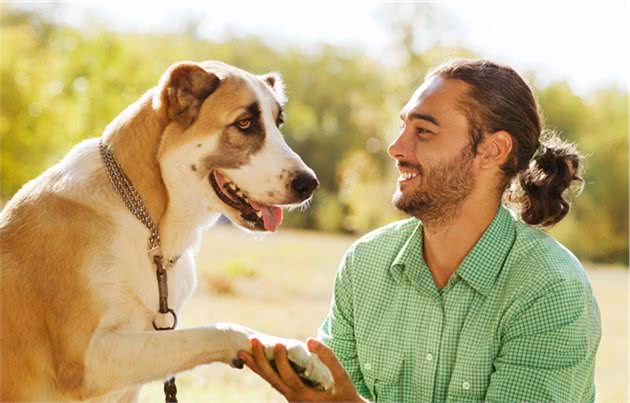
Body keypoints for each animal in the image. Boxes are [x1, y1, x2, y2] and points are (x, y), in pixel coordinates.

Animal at [1, 60, 336, 403]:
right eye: (244, 123)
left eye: (278, 123)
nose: (309, 184)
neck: (147, 222)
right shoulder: (90, 360)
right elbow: (219, 330)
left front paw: (294, 356)